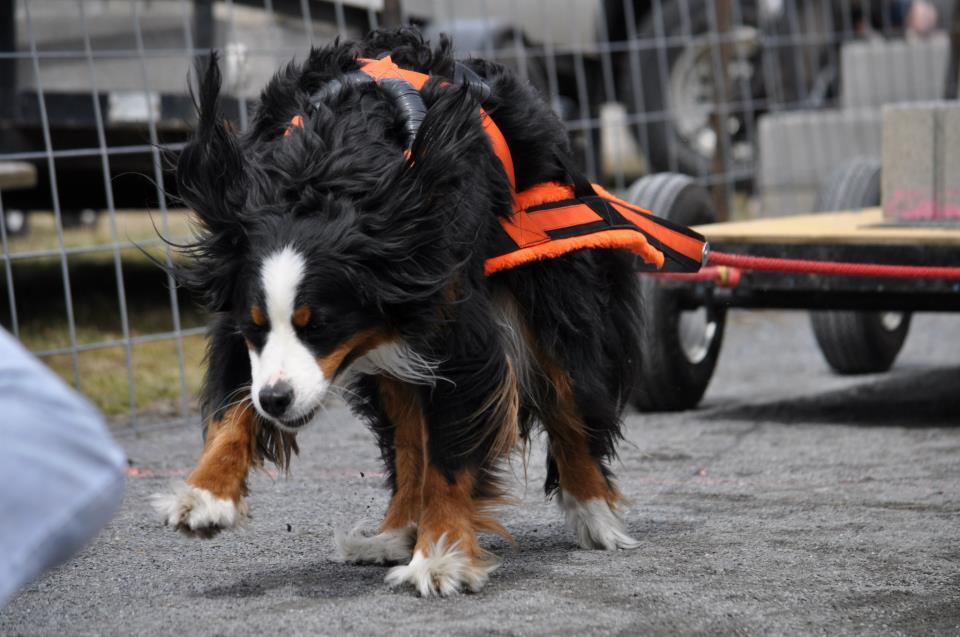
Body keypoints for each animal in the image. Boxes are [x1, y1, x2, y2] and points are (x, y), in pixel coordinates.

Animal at [152, 27, 704, 596]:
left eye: (321, 325)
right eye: (256, 328)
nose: (277, 400)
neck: (330, 174)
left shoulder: (454, 323)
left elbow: (450, 457)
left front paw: (440, 555)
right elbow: (235, 405)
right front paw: (206, 495)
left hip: (553, 293)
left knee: (569, 397)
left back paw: (593, 513)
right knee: (407, 436)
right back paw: (393, 531)